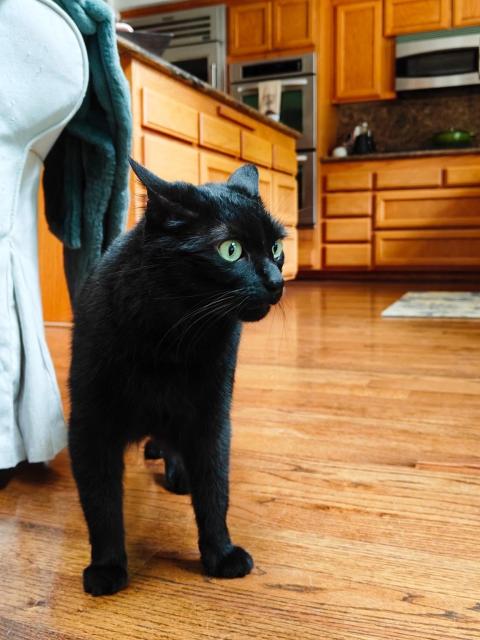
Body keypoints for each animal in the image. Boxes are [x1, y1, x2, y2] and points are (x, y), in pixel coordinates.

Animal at [70, 160, 286, 596]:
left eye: (276, 249)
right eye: (230, 250)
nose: (277, 281)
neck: (171, 339)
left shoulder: (211, 419)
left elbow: (214, 491)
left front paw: (221, 554)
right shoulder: (89, 426)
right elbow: (101, 504)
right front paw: (107, 568)